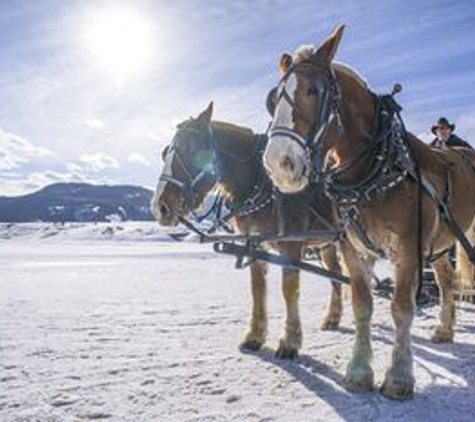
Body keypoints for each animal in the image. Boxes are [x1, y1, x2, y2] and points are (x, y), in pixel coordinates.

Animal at [152, 104, 346, 360]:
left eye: (189, 147)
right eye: (165, 152)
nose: (160, 207)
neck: (261, 184)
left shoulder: (291, 244)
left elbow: (289, 290)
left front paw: (290, 342)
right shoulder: (255, 243)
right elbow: (257, 289)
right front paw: (254, 336)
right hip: (327, 244)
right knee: (337, 274)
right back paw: (333, 317)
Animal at [262, 26, 475, 398]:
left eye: (314, 90)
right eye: (273, 99)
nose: (278, 163)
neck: (374, 169)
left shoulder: (408, 249)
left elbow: (402, 308)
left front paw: (399, 378)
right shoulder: (354, 248)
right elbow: (362, 304)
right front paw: (360, 372)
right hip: (439, 244)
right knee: (447, 281)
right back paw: (445, 330)